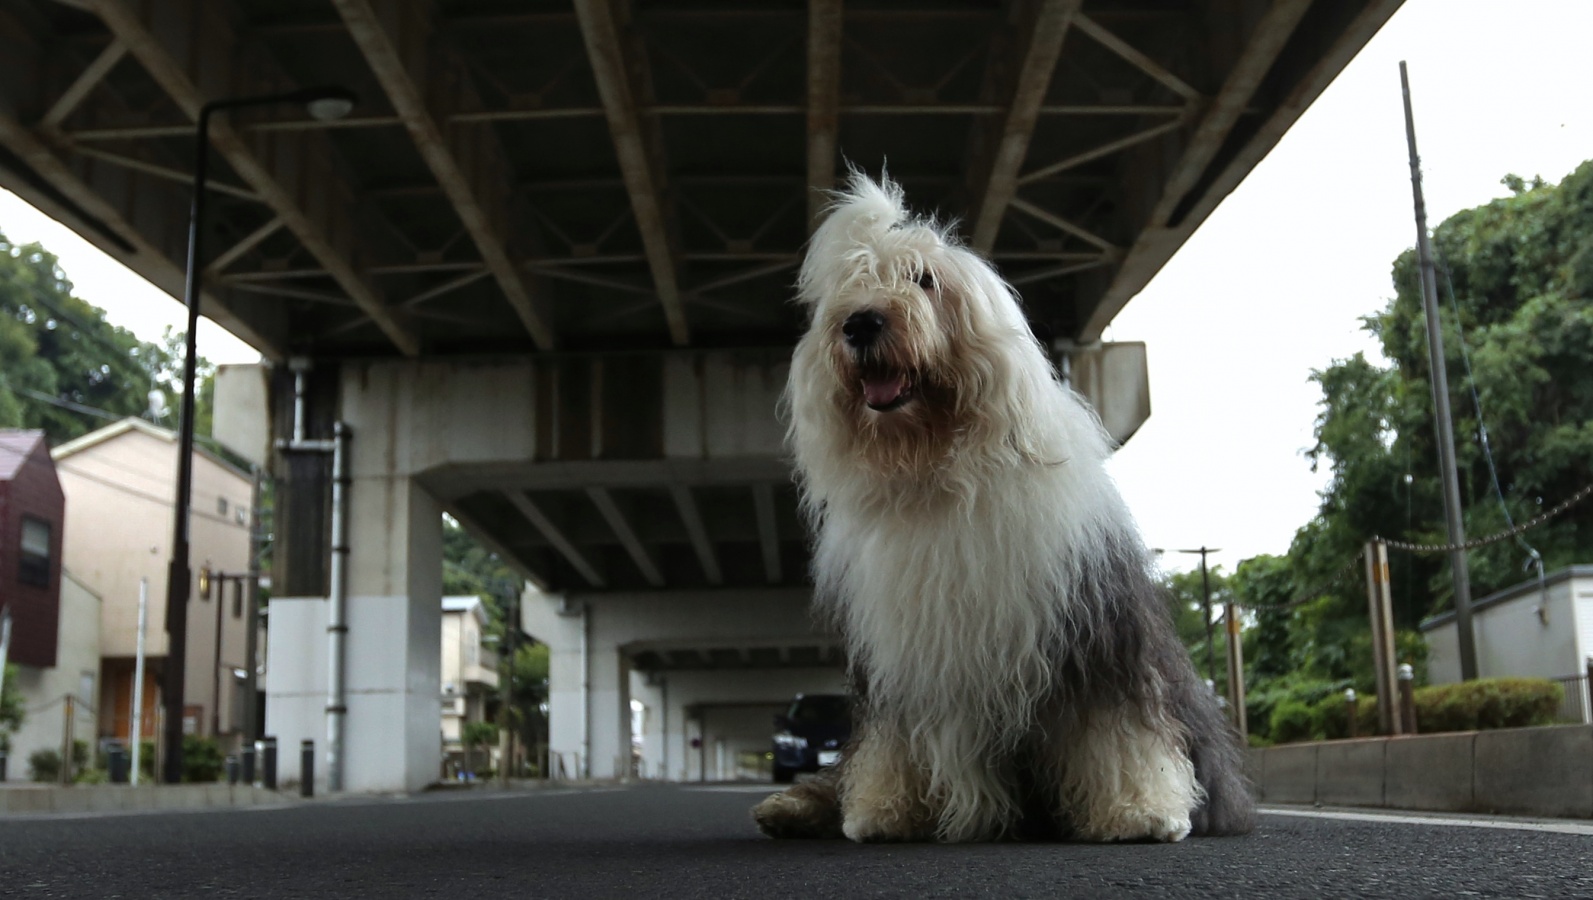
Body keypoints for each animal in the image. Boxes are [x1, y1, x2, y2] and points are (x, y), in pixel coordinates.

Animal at [752, 173, 1254, 843]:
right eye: (854, 282)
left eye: (924, 280)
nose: (859, 323)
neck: (937, 470)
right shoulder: (899, 657)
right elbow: (891, 743)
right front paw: (887, 810)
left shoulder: (1089, 632)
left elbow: (1113, 728)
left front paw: (1139, 810)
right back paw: (789, 807)